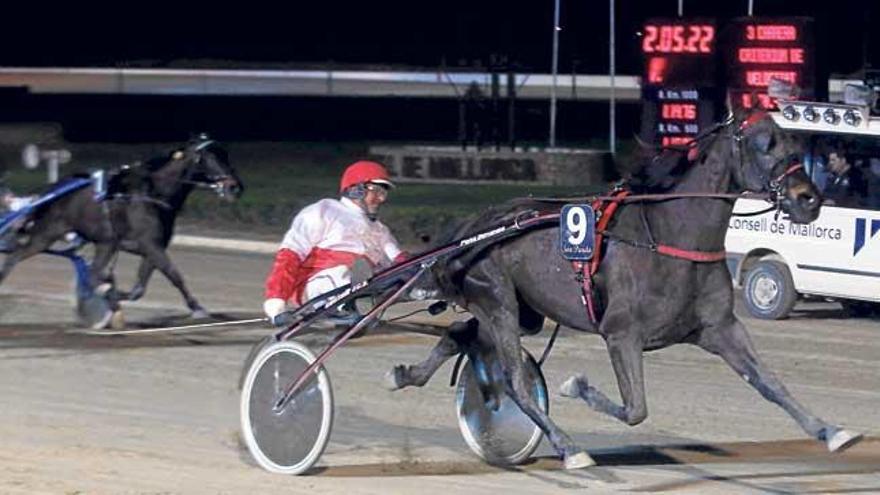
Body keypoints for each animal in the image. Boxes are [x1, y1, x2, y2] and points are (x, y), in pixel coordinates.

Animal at [0, 134, 242, 324]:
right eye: (210, 157)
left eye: (225, 155)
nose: (235, 186)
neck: (154, 194)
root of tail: (53, 189)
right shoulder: (150, 245)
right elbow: (174, 275)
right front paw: (197, 308)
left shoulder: (151, 248)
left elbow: (138, 288)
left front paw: (113, 293)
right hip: (47, 234)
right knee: (15, 257)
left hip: (104, 243)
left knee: (92, 274)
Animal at [386, 111, 860, 468]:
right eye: (765, 144)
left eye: (792, 143)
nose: (809, 199)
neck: (670, 237)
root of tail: (479, 223)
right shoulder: (621, 334)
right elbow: (635, 410)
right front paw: (575, 386)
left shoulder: (720, 328)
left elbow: (770, 383)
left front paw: (833, 431)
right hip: (499, 301)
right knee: (516, 381)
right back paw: (569, 448)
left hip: (520, 310)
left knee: (459, 335)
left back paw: (407, 374)